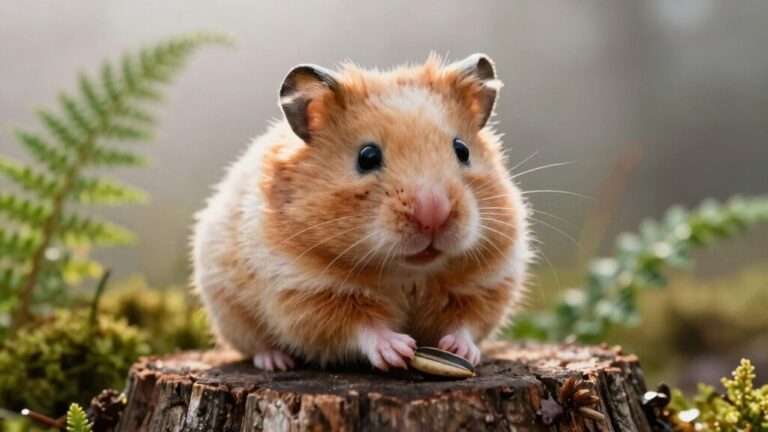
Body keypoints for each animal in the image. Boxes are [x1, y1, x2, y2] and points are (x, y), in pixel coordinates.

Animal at [192, 54, 531, 372]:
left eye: (462, 150)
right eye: (367, 157)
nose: (433, 215)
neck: (408, 272)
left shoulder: (487, 283)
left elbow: (466, 323)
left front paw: (459, 352)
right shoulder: (304, 292)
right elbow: (360, 326)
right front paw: (399, 350)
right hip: (229, 312)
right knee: (256, 347)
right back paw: (276, 362)